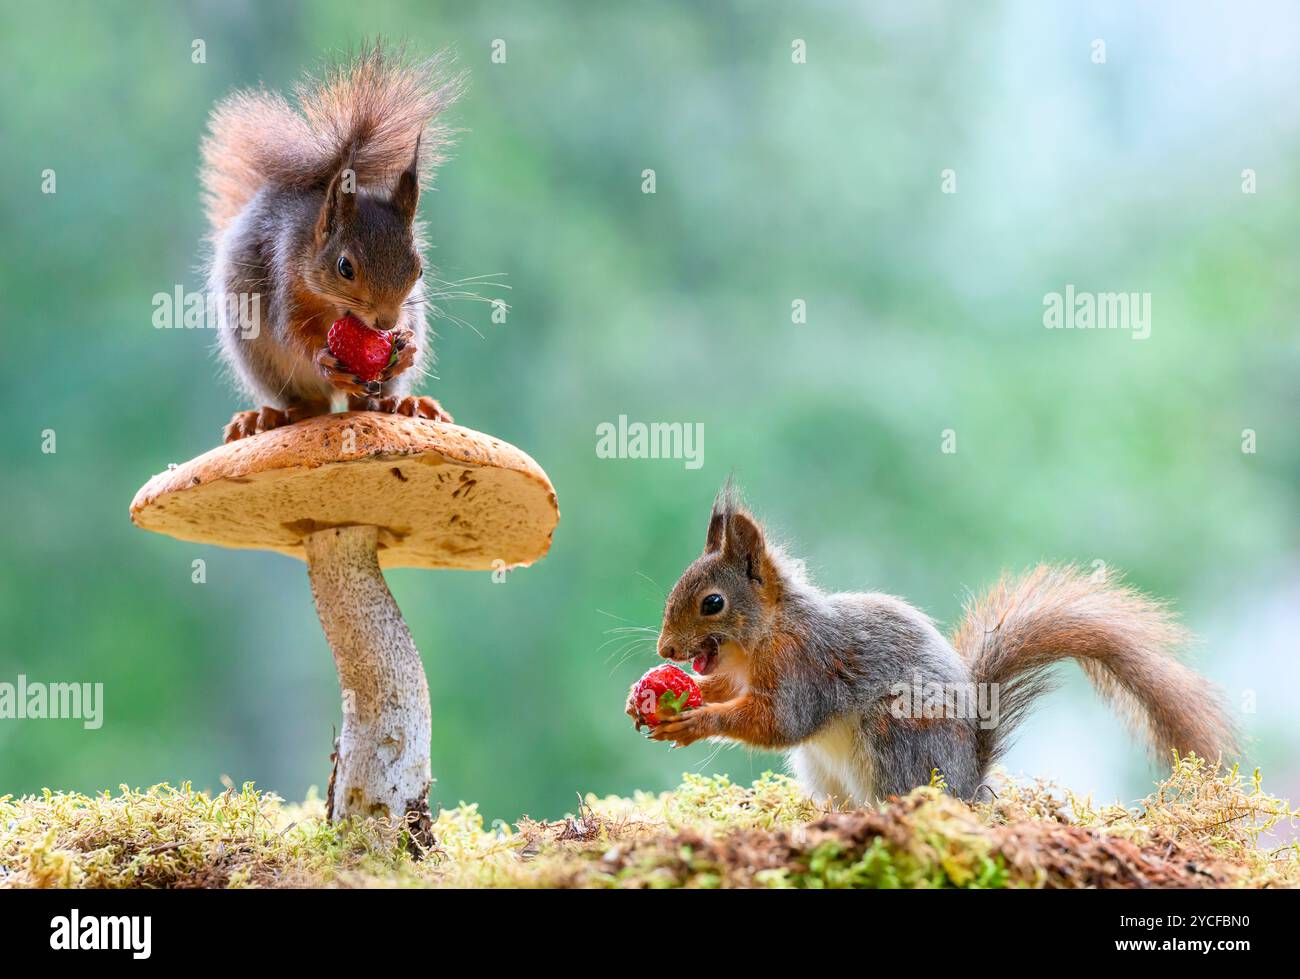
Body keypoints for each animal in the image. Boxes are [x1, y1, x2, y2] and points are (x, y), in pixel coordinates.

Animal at [192, 43, 457, 442]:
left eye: (420, 269)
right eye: (344, 267)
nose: (385, 321)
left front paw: (406, 345)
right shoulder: (285, 274)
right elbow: (290, 331)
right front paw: (322, 359)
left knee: (367, 402)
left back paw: (399, 403)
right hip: (264, 361)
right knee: (307, 405)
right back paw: (270, 416)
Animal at [631, 486, 1237, 806]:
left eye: (712, 603)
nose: (664, 651)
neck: (768, 634)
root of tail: (970, 781)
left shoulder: (804, 668)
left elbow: (779, 721)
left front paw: (694, 721)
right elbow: (725, 688)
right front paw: (658, 698)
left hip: (895, 738)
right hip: (821, 769)